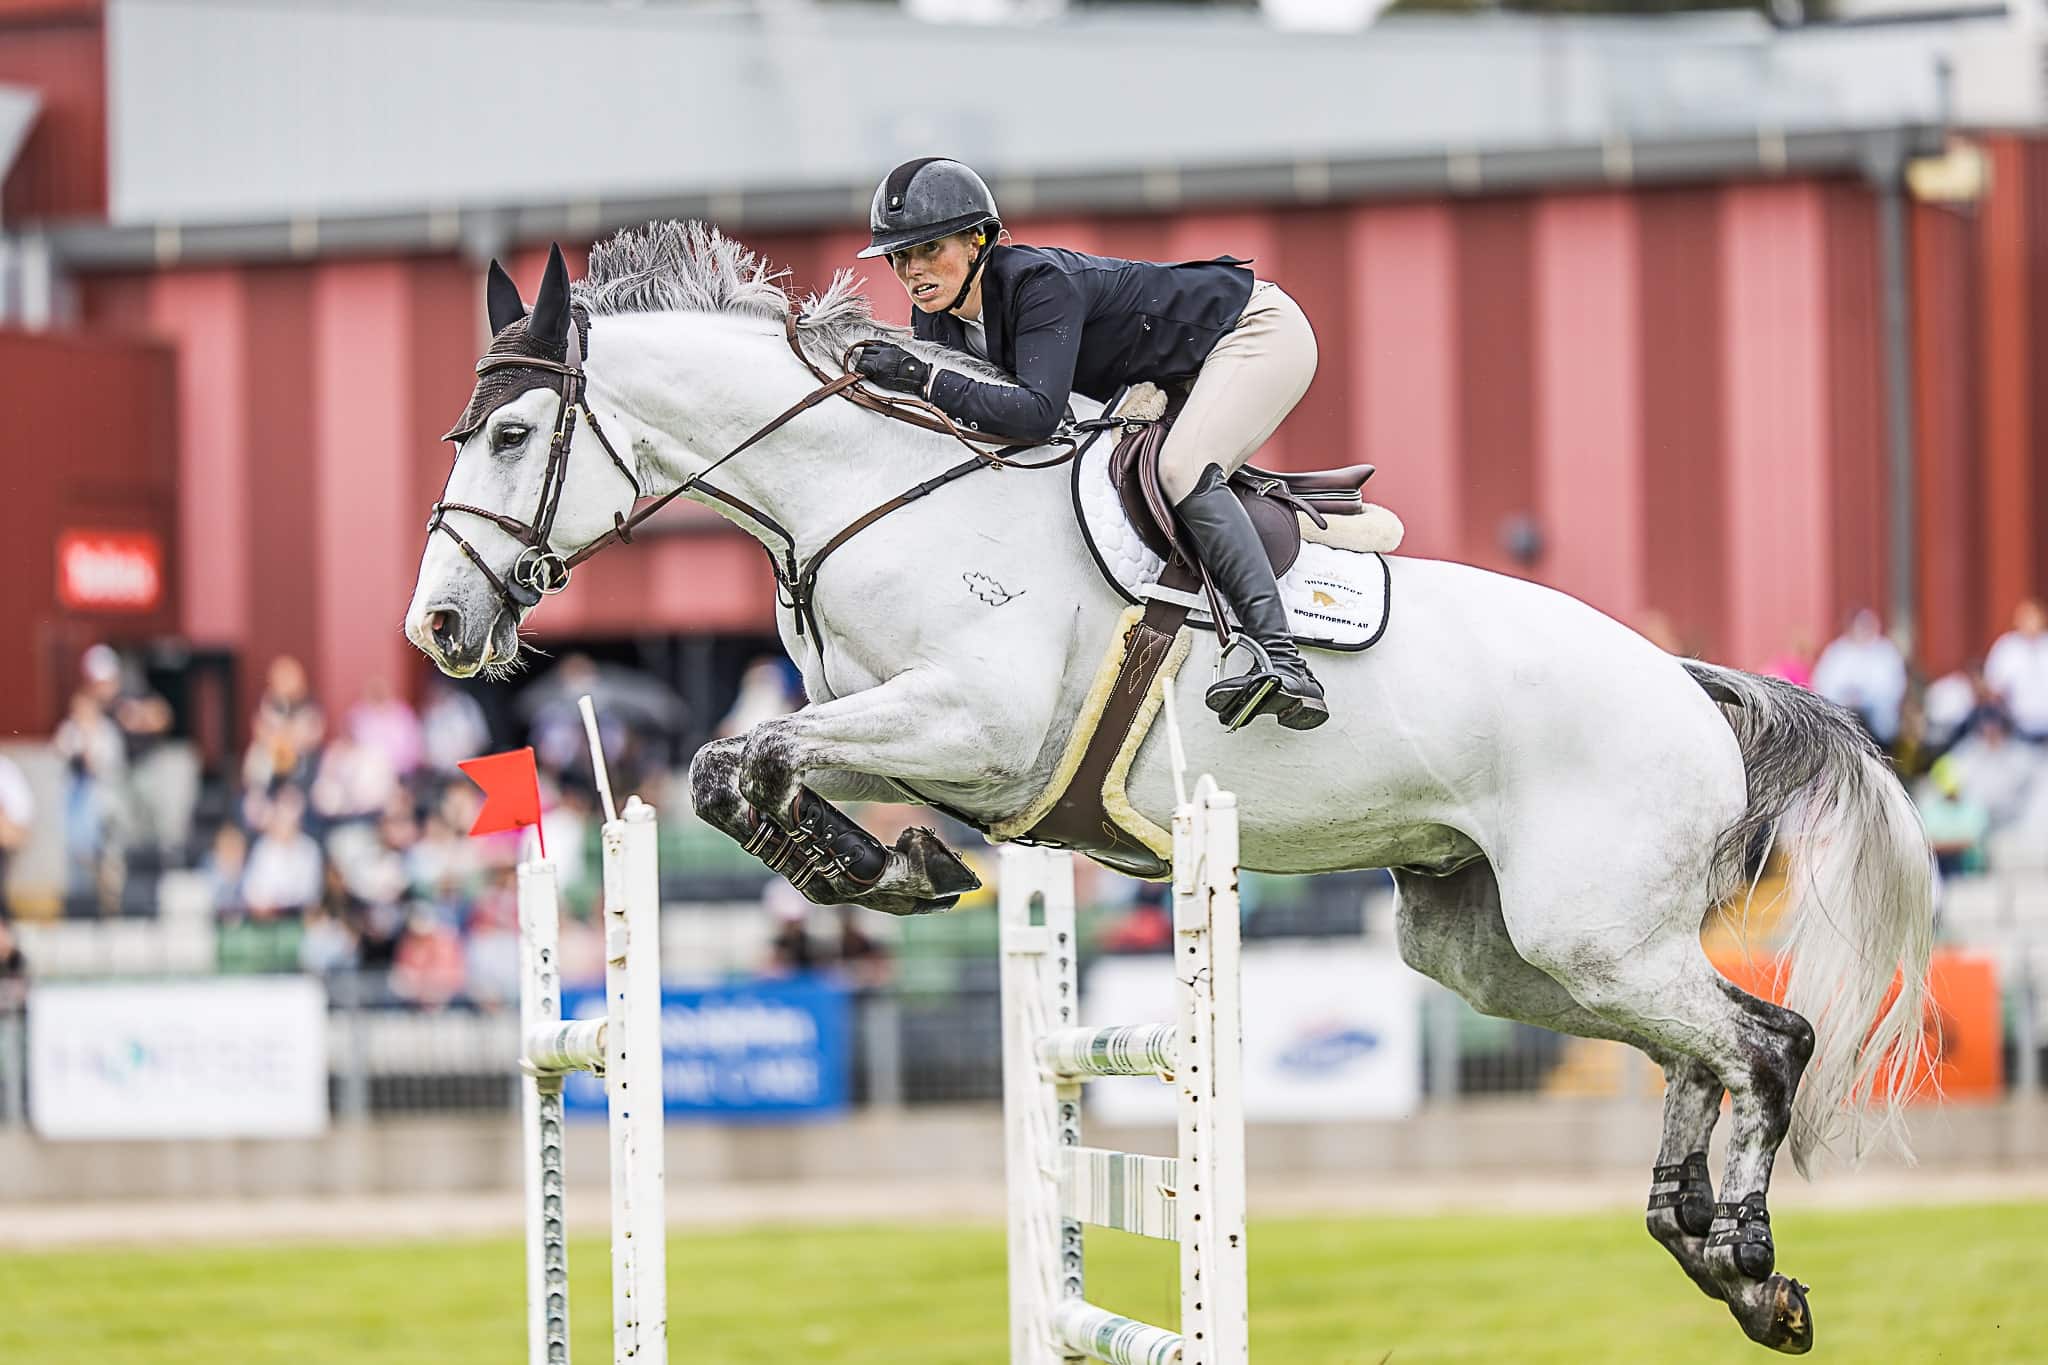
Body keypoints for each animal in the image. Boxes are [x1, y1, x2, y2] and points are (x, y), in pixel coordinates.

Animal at [403, 224, 1933, 1358]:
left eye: (512, 435)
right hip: (1498, 947)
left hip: (1586, 926)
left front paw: (875, 868)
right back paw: (1714, 1252)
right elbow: (747, 769)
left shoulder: (972, 725)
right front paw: (887, 868)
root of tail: (1689, 683)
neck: (867, 492)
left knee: (1767, 1042)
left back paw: (1747, 1256)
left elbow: (744, 758)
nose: (439, 631)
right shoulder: (913, 737)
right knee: (1696, 1046)